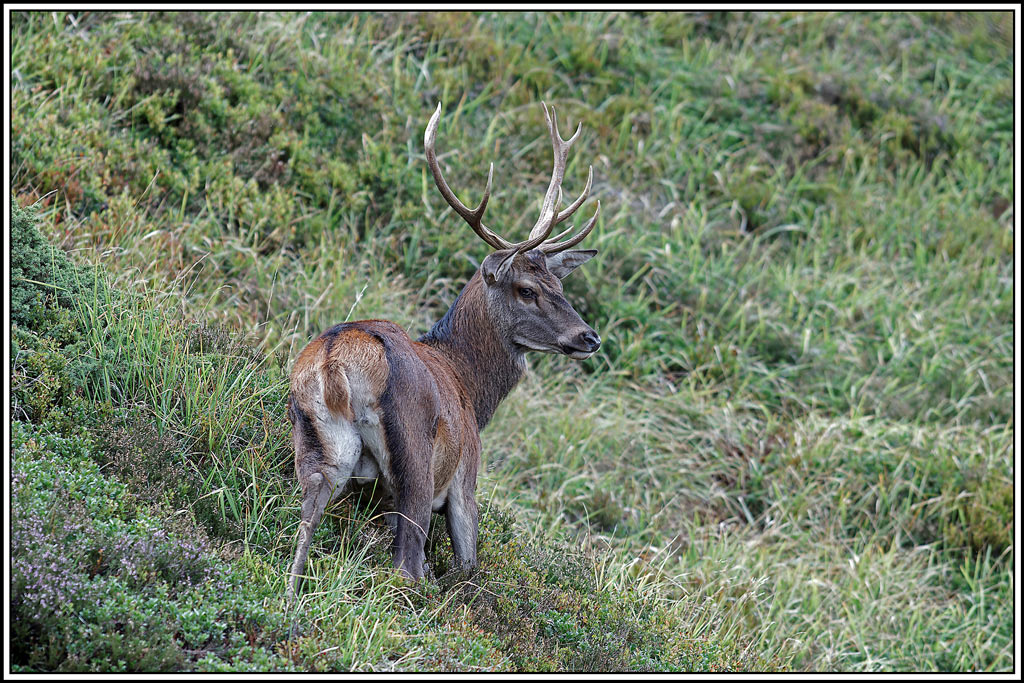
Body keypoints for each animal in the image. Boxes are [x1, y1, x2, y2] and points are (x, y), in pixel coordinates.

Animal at [285, 101, 602, 602]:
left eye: (560, 285)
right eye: (527, 289)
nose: (589, 337)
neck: (471, 386)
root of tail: (336, 361)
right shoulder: (465, 478)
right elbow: (468, 566)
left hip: (321, 452)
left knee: (302, 532)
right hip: (414, 461)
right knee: (407, 565)